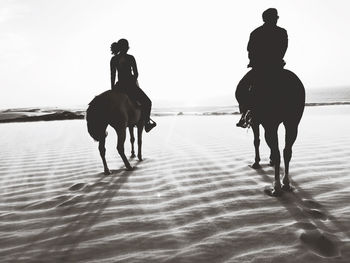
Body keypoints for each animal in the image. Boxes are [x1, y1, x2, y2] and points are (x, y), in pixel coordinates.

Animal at [237, 69, 304, 197]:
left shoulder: (256, 122)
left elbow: (256, 141)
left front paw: (256, 162)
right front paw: (270, 160)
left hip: (270, 124)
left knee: (278, 153)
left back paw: (276, 187)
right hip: (292, 123)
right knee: (287, 151)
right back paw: (286, 183)